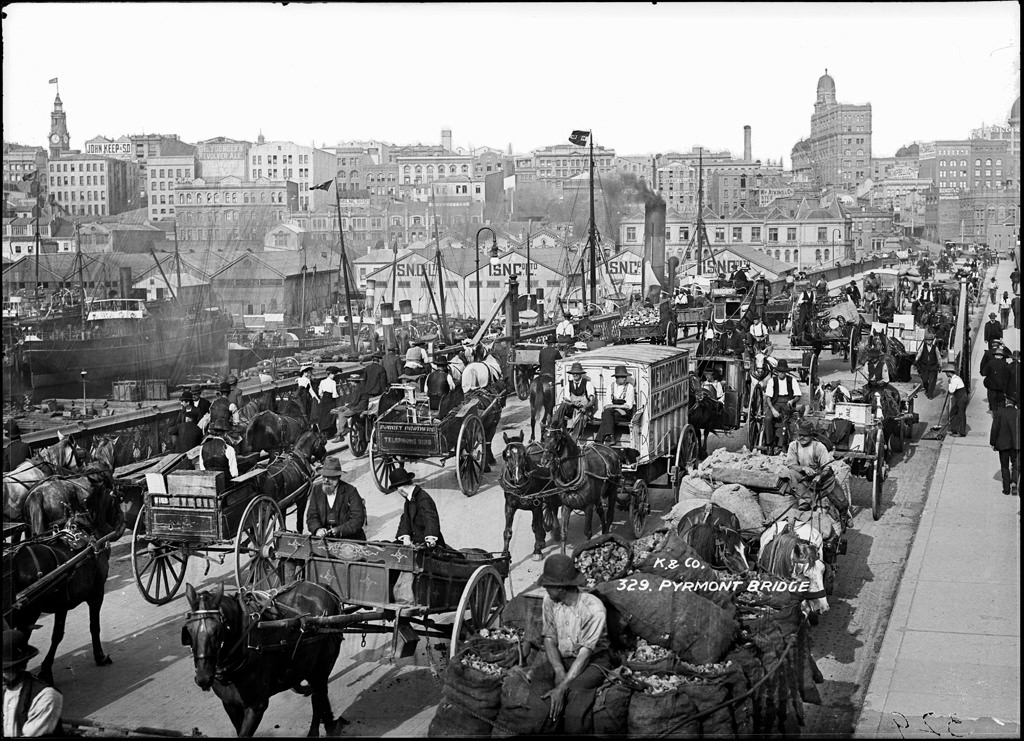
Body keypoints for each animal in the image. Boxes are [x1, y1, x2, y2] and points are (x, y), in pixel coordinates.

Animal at [5, 489, 123, 687]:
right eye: (117, 499)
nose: (122, 521)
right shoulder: (96, 593)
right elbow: (91, 626)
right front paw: (99, 656)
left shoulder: (63, 603)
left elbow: (58, 635)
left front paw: (45, 670)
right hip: (29, 613)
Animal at [182, 585, 346, 736]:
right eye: (188, 630)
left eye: (217, 630)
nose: (203, 677)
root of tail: (326, 588)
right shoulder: (229, 704)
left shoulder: (256, 706)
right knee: (318, 694)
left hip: (321, 665)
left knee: (319, 695)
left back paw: (323, 728)